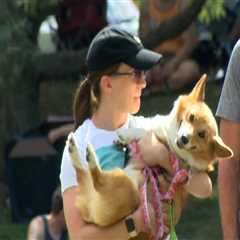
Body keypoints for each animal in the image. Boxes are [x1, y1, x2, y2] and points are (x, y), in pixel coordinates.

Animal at [67, 74, 232, 238]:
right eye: (191, 117)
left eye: (202, 134)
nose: (184, 139)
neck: (170, 136)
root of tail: (93, 215)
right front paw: (122, 141)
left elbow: (143, 132)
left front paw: (125, 134)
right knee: (82, 175)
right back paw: (73, 148)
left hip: (126, 187)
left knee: (96, 179)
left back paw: (88, 154)